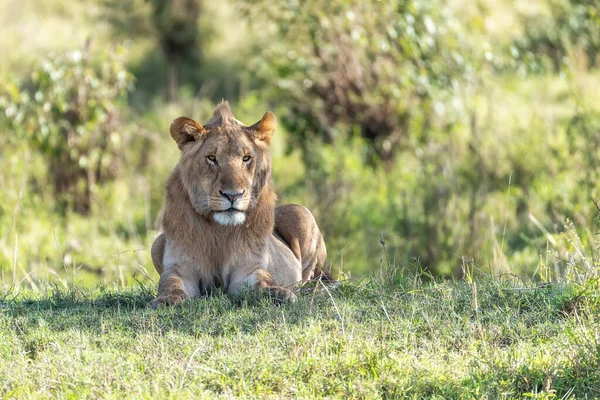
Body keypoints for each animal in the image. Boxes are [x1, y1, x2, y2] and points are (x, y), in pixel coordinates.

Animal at [149, 101, 328, 308]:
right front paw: (166, 299)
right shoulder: (180, 267)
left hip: (301, 213)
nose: (232, 195)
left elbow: (263, 280)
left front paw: (279, 293)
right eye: (212, 158)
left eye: (246, 158)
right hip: (157, 242)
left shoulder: (248, 269)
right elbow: (171, 283)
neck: (219, 231)